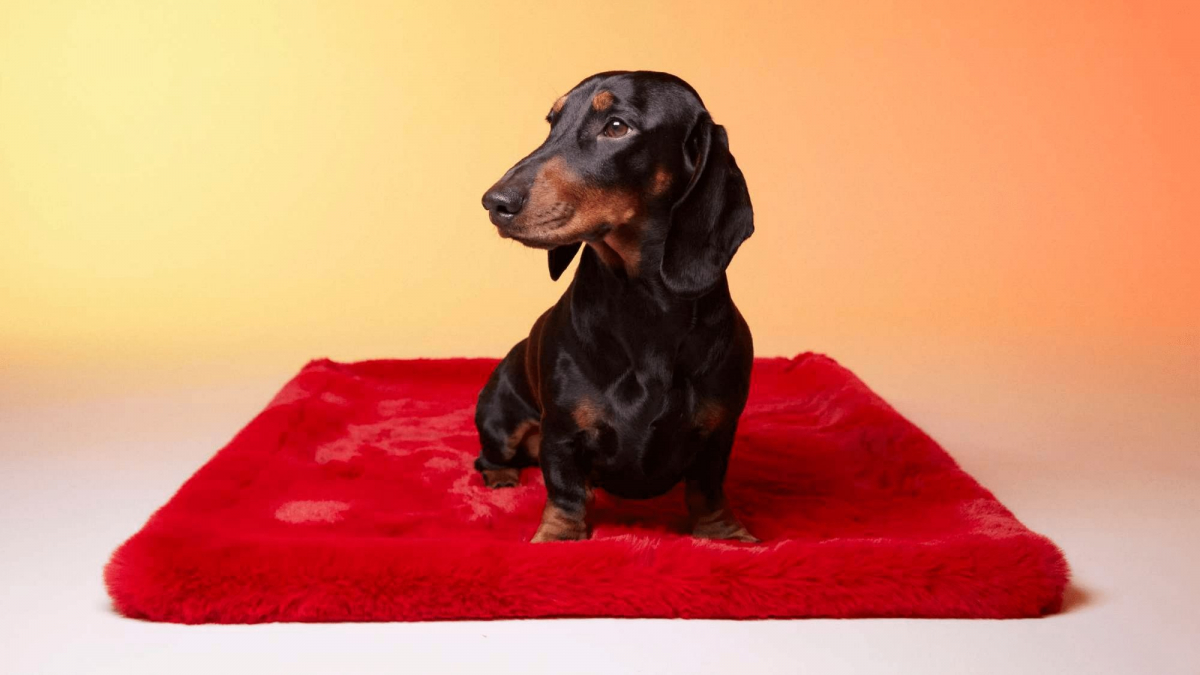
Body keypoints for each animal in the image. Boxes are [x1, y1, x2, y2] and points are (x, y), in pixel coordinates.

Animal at [472, 70, 753, 540]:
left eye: (617, 127)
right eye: (552, 122)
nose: (495, 203)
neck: (646, 306)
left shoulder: (718, 432)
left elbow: (708, 490)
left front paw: (724, 533)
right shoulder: (562, 432)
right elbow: (566, 491)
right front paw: (558, 534)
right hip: (500, 417)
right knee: (490, 455)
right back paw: (500, 475)